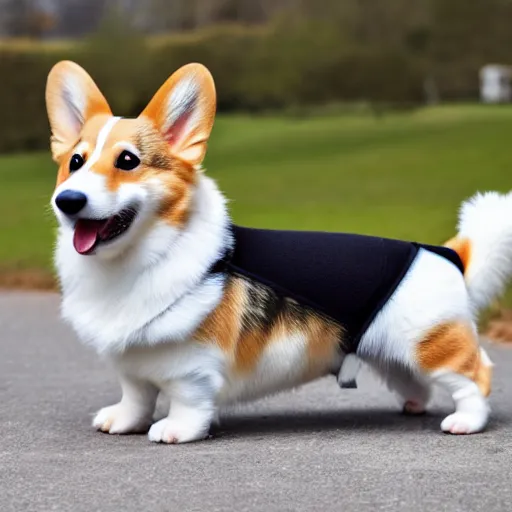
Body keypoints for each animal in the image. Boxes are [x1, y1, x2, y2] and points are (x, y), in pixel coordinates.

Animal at [45, 61, 512, 444]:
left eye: (127, 161)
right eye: (75, 162)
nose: (67, 200)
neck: (131, 261)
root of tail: (443, 253)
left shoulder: (193, 367)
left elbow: (187, 401)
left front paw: (176, 430)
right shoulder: (134, 365)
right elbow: (137, 396)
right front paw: (123, 421)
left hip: (430, 341)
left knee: (476, 374)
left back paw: (466, 421)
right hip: (392, 352)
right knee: (416, 380)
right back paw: (413, 406)